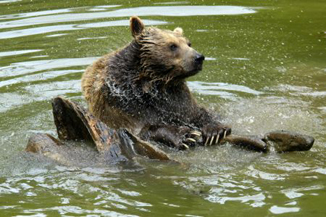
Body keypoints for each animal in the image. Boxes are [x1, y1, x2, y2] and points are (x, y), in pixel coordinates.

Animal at [81, 16, 230, 149]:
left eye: (189, 43)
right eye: (172, 45)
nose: (198, 57)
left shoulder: (177, 96)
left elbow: (197, 112)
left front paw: (215, 131)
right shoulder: (121, 101)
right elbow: (143, 128)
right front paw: (186, 135)